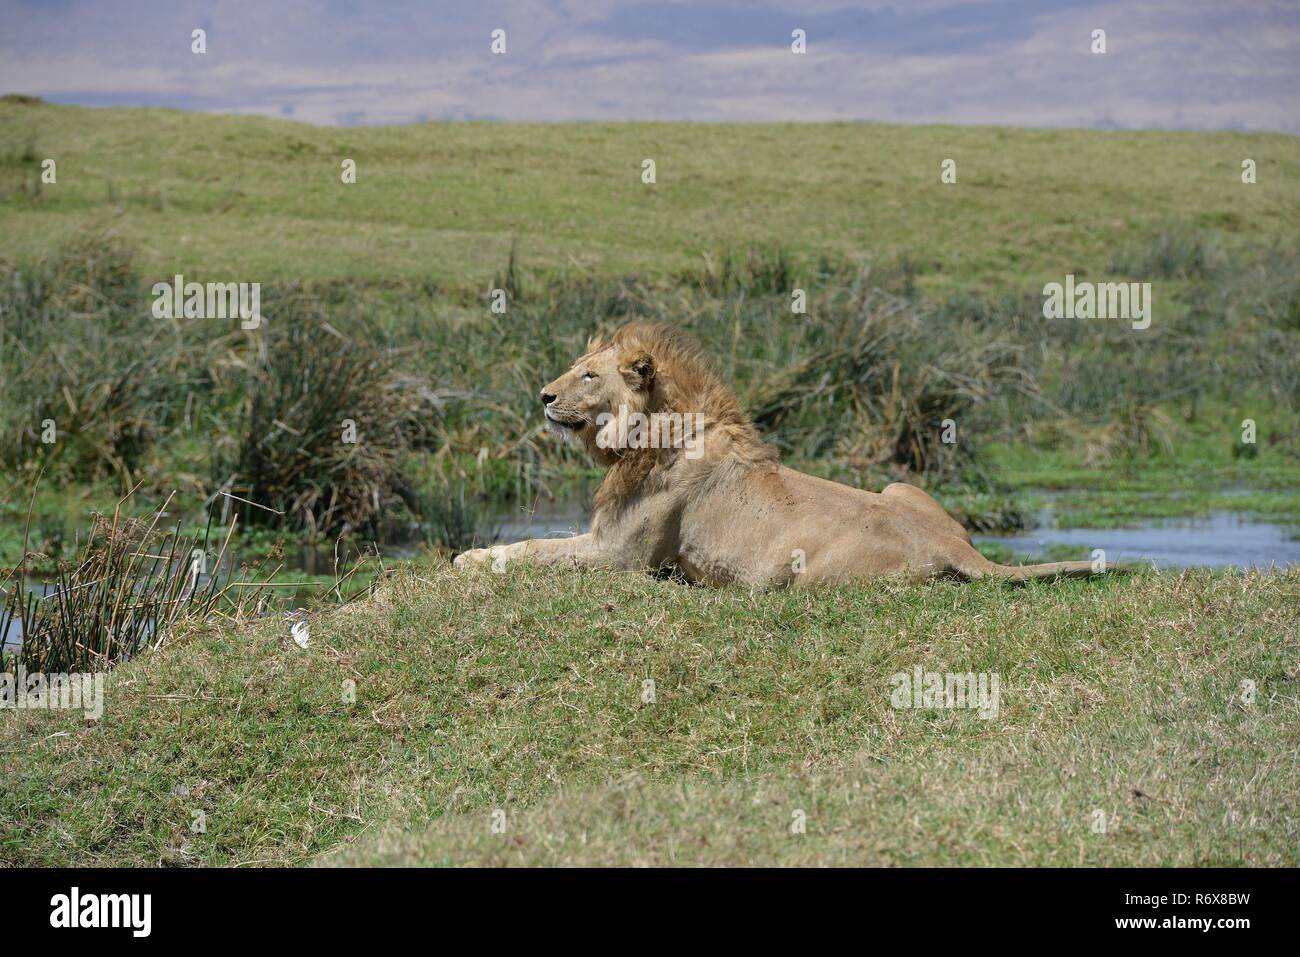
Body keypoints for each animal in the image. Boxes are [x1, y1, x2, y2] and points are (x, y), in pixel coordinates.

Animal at [452, 325, 1102, 587]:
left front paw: (470, 559)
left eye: (587, 376)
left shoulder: (621, 557)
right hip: (900, 487)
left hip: (793, 576)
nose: (543, 396)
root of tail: (958, 549)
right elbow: (540, 543)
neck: (646, 435)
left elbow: (536, 550)